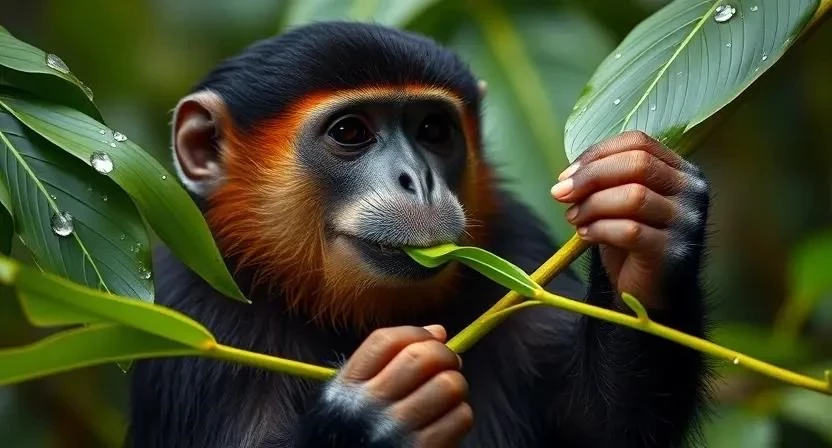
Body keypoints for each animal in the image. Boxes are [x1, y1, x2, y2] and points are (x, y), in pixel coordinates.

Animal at [129, 21, 711, 448]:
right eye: (350, 132)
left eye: (433, 131)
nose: (418, 180)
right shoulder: (196, 310)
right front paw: (370, 415)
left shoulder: (513, 241)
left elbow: (602, 431)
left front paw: (654, 225)